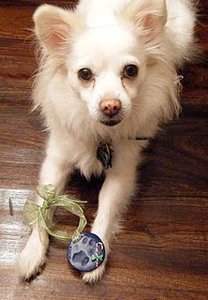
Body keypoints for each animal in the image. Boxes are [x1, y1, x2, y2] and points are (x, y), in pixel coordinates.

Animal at [18, 0, 196, 282]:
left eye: (131, 71)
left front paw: (96, 261)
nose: (111, 106)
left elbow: (106, 208)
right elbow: (44, 205)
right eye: (84, 74)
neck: (100, 134)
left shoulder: (122, 174)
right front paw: (32, 251)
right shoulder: (56, 162)